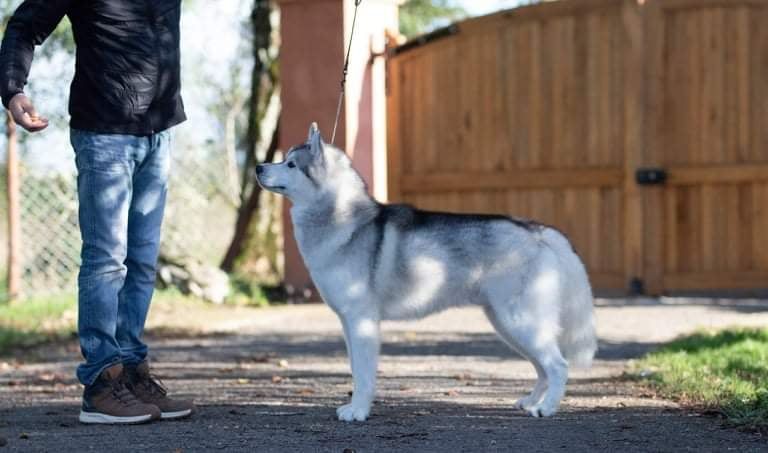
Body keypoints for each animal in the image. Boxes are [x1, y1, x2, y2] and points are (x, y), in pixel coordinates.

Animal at [256, 123, 597, 422]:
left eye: (290, 164)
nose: (258, 167)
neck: (342, 218)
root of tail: (536, 230)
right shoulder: (347, 323)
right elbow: (355, 369)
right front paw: (355, 406)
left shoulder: (361, 320)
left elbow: (363, 374)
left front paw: (359, 411)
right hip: (507, 324)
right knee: (542, 367)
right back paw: (532, 401)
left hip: (520, 320)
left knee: (558, 365)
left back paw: (547, 408)